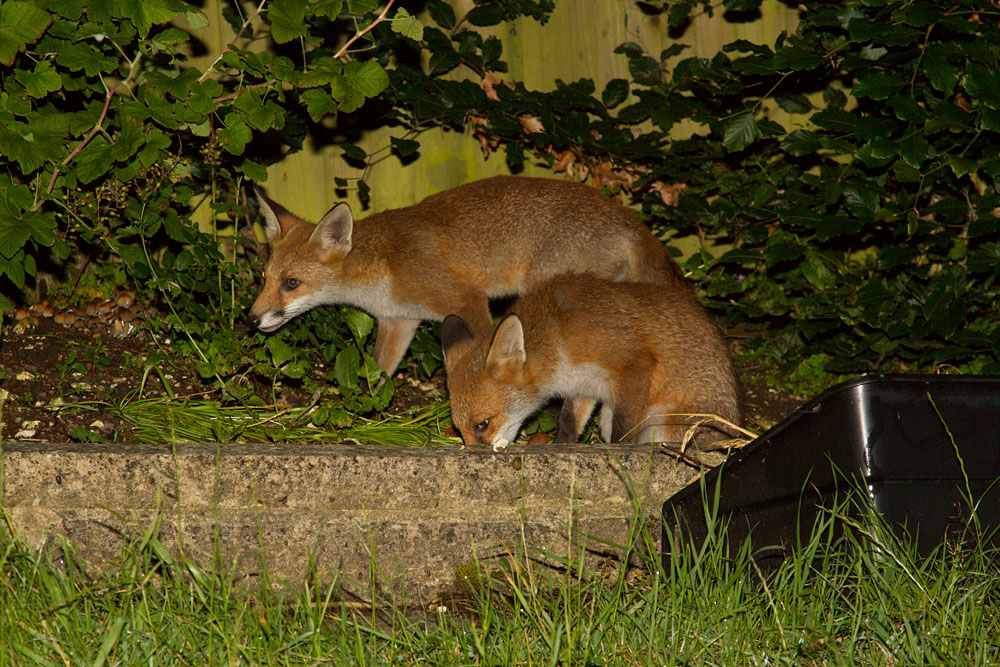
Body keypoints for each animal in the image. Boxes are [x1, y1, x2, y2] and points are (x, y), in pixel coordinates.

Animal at [248, 175, 687, 440]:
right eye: (264, 278)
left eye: (292, 284)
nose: (252, 319)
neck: (386, 266)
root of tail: (632, 220)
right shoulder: (399, 320)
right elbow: (378, 376)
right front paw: (363, 416)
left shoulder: (466, 300)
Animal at [440, 273, 740, 450]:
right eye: (459, 428)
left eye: (483, 424)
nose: (473, 455)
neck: (557, 337)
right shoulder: (584, 385)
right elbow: (568, 423)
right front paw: (561, 447)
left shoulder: (634, 364)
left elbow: (624, 430)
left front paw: (620, 453)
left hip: (661, 421)